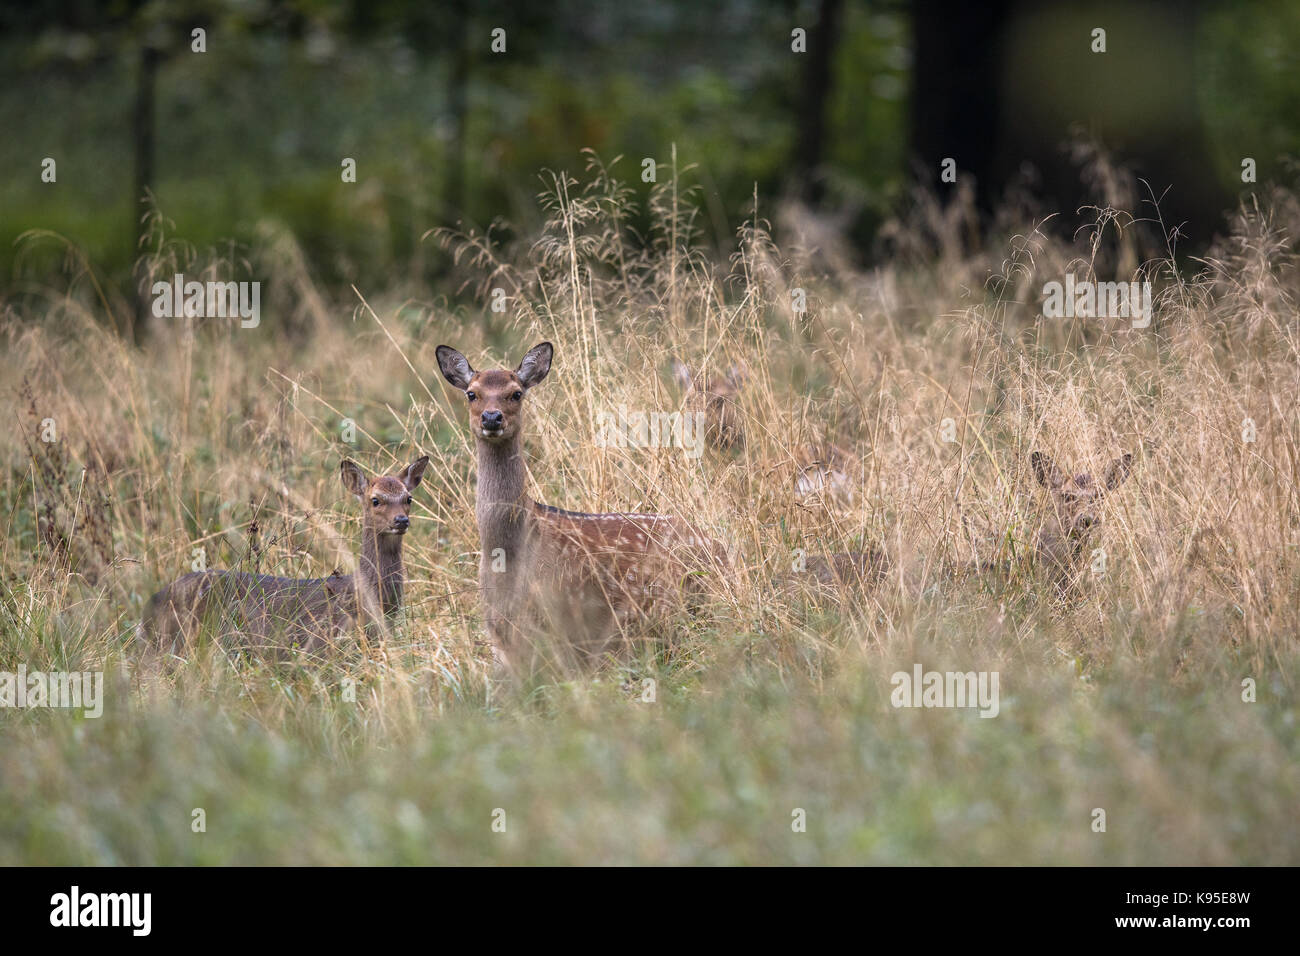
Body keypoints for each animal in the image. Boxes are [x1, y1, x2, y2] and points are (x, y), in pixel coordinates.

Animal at [138, 456, 428, 658]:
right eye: (375, 500)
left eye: (408, 498)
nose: (401, 520)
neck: (364, 595)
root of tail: (149, 608)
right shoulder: (322, 640)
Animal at [438, 342, 730, 676]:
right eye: (472, 393)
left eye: (516, 393)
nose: (491, 417)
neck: (509, 554)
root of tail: (723, 550)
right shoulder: (500, 634)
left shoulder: (564, 622)